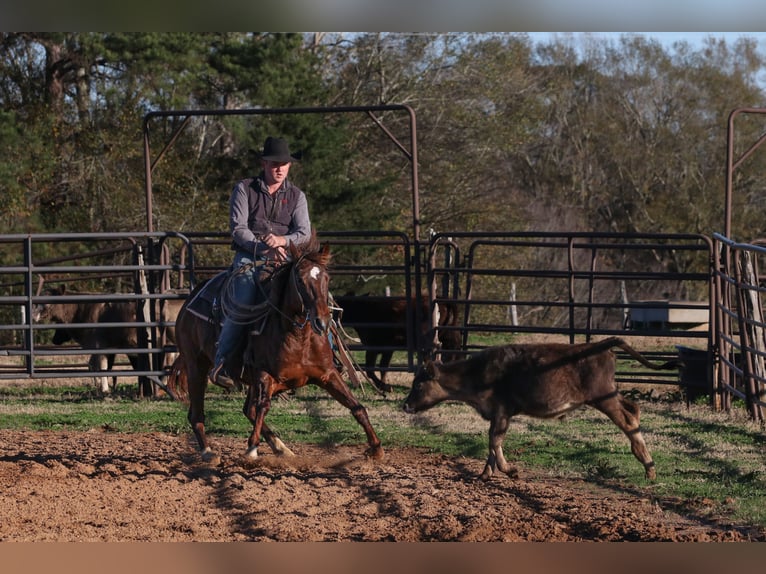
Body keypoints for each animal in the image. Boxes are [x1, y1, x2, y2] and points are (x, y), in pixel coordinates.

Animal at [174, 232, 388, 466]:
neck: (300, 339)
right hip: (196, 365)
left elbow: (356, 406)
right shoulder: (264, 375)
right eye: (300, 280)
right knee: (197, 414)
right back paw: (208, 451)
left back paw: (281, 448)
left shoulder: (328, 375)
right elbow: (263, 407)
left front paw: (376, 448)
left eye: (327, 279)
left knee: (247, 409)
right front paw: (251, 449)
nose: (322, 321)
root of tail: (190, 300)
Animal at [402, 338, 680, 482]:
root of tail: (602, 344)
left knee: (628, 419)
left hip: (603, 397)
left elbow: (495, 440)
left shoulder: (501, 411)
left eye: (418, 384)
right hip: (611, 394)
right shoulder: (497, 414)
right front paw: (485, 473)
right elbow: (491, 443)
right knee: (634, 409)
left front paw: (510, 470)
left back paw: (648, 466)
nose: (405, 405)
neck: (477, 373)